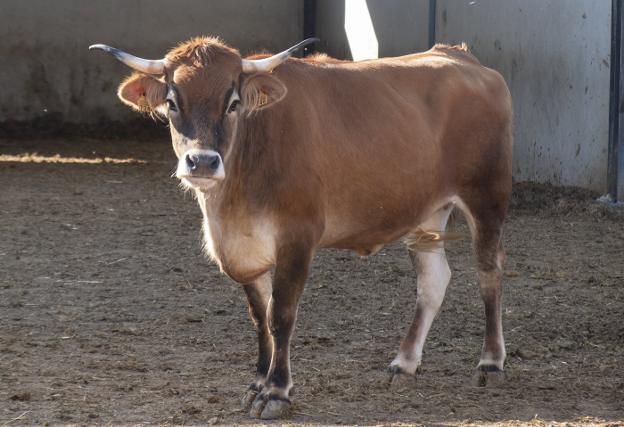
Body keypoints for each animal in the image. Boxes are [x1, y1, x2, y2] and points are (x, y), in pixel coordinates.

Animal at [91, 37, 512, 422]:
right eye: (173, 103)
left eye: (233, 103)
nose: (203, 162)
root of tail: (459, 55)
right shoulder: (245, 249)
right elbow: (259, 316)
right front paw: (257, 383)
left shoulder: (298, 236)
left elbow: (281, 314)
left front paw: (276, 392)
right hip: (427, 212)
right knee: (433, 281)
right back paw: (404, 364)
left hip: (487, 195)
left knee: (488, 273)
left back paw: (490, 363)